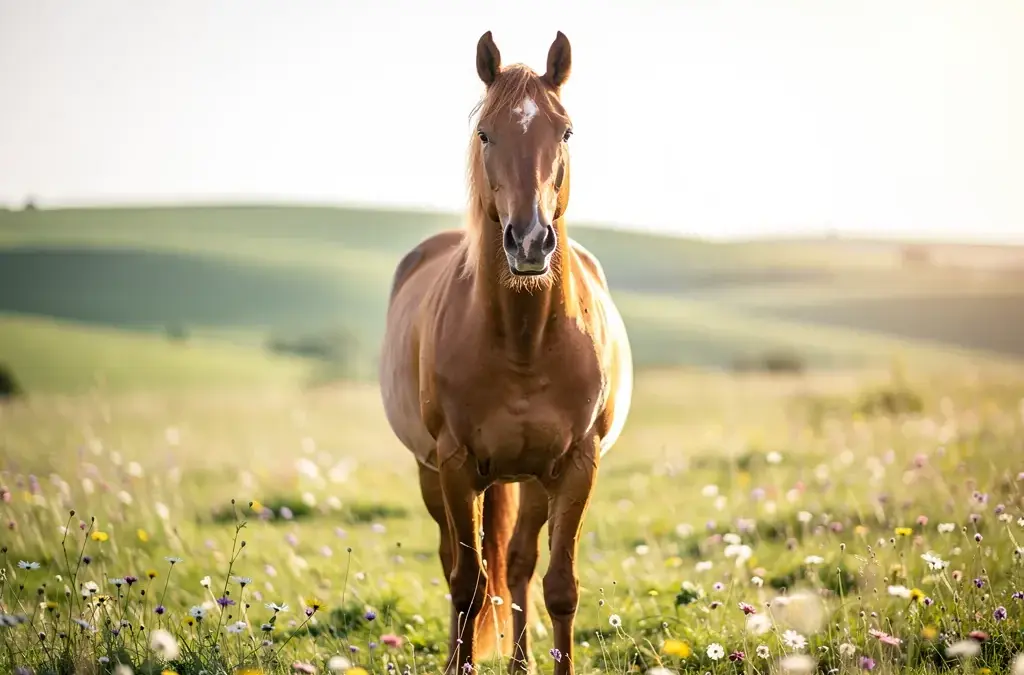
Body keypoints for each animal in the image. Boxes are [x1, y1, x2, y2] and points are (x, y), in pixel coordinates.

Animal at [379, 31, 633, 675]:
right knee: (455, 564)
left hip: (533, 479)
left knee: (517, 566)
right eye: (486, 134)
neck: (523, 340)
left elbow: (558, 587)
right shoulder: (454, 464)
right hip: (433, 475)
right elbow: (468, 585)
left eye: (565, 132)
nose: (529, 241)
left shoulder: (576, 465)